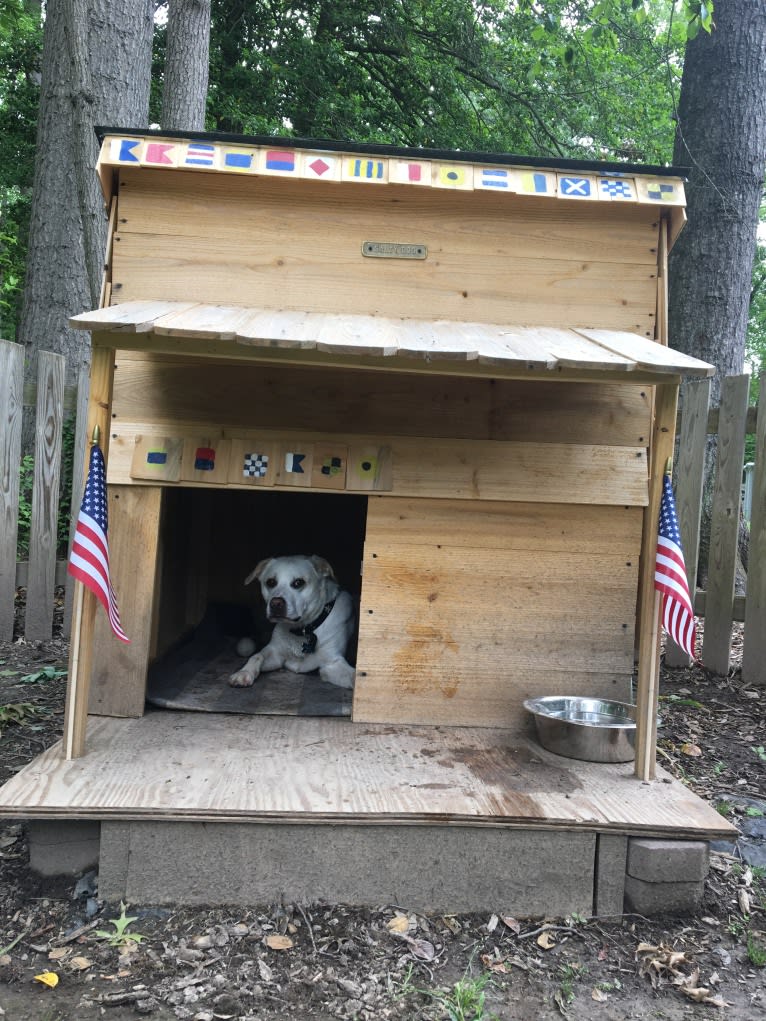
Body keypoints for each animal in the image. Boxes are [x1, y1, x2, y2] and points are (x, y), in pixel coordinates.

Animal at [227, 555, 357, 690]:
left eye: (298, 582)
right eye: (271, 582)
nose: (276, 603)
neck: (301, 630)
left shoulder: (333, 664)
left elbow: (354, 676)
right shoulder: (275, 653)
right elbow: (257, 656)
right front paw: (244, 672)